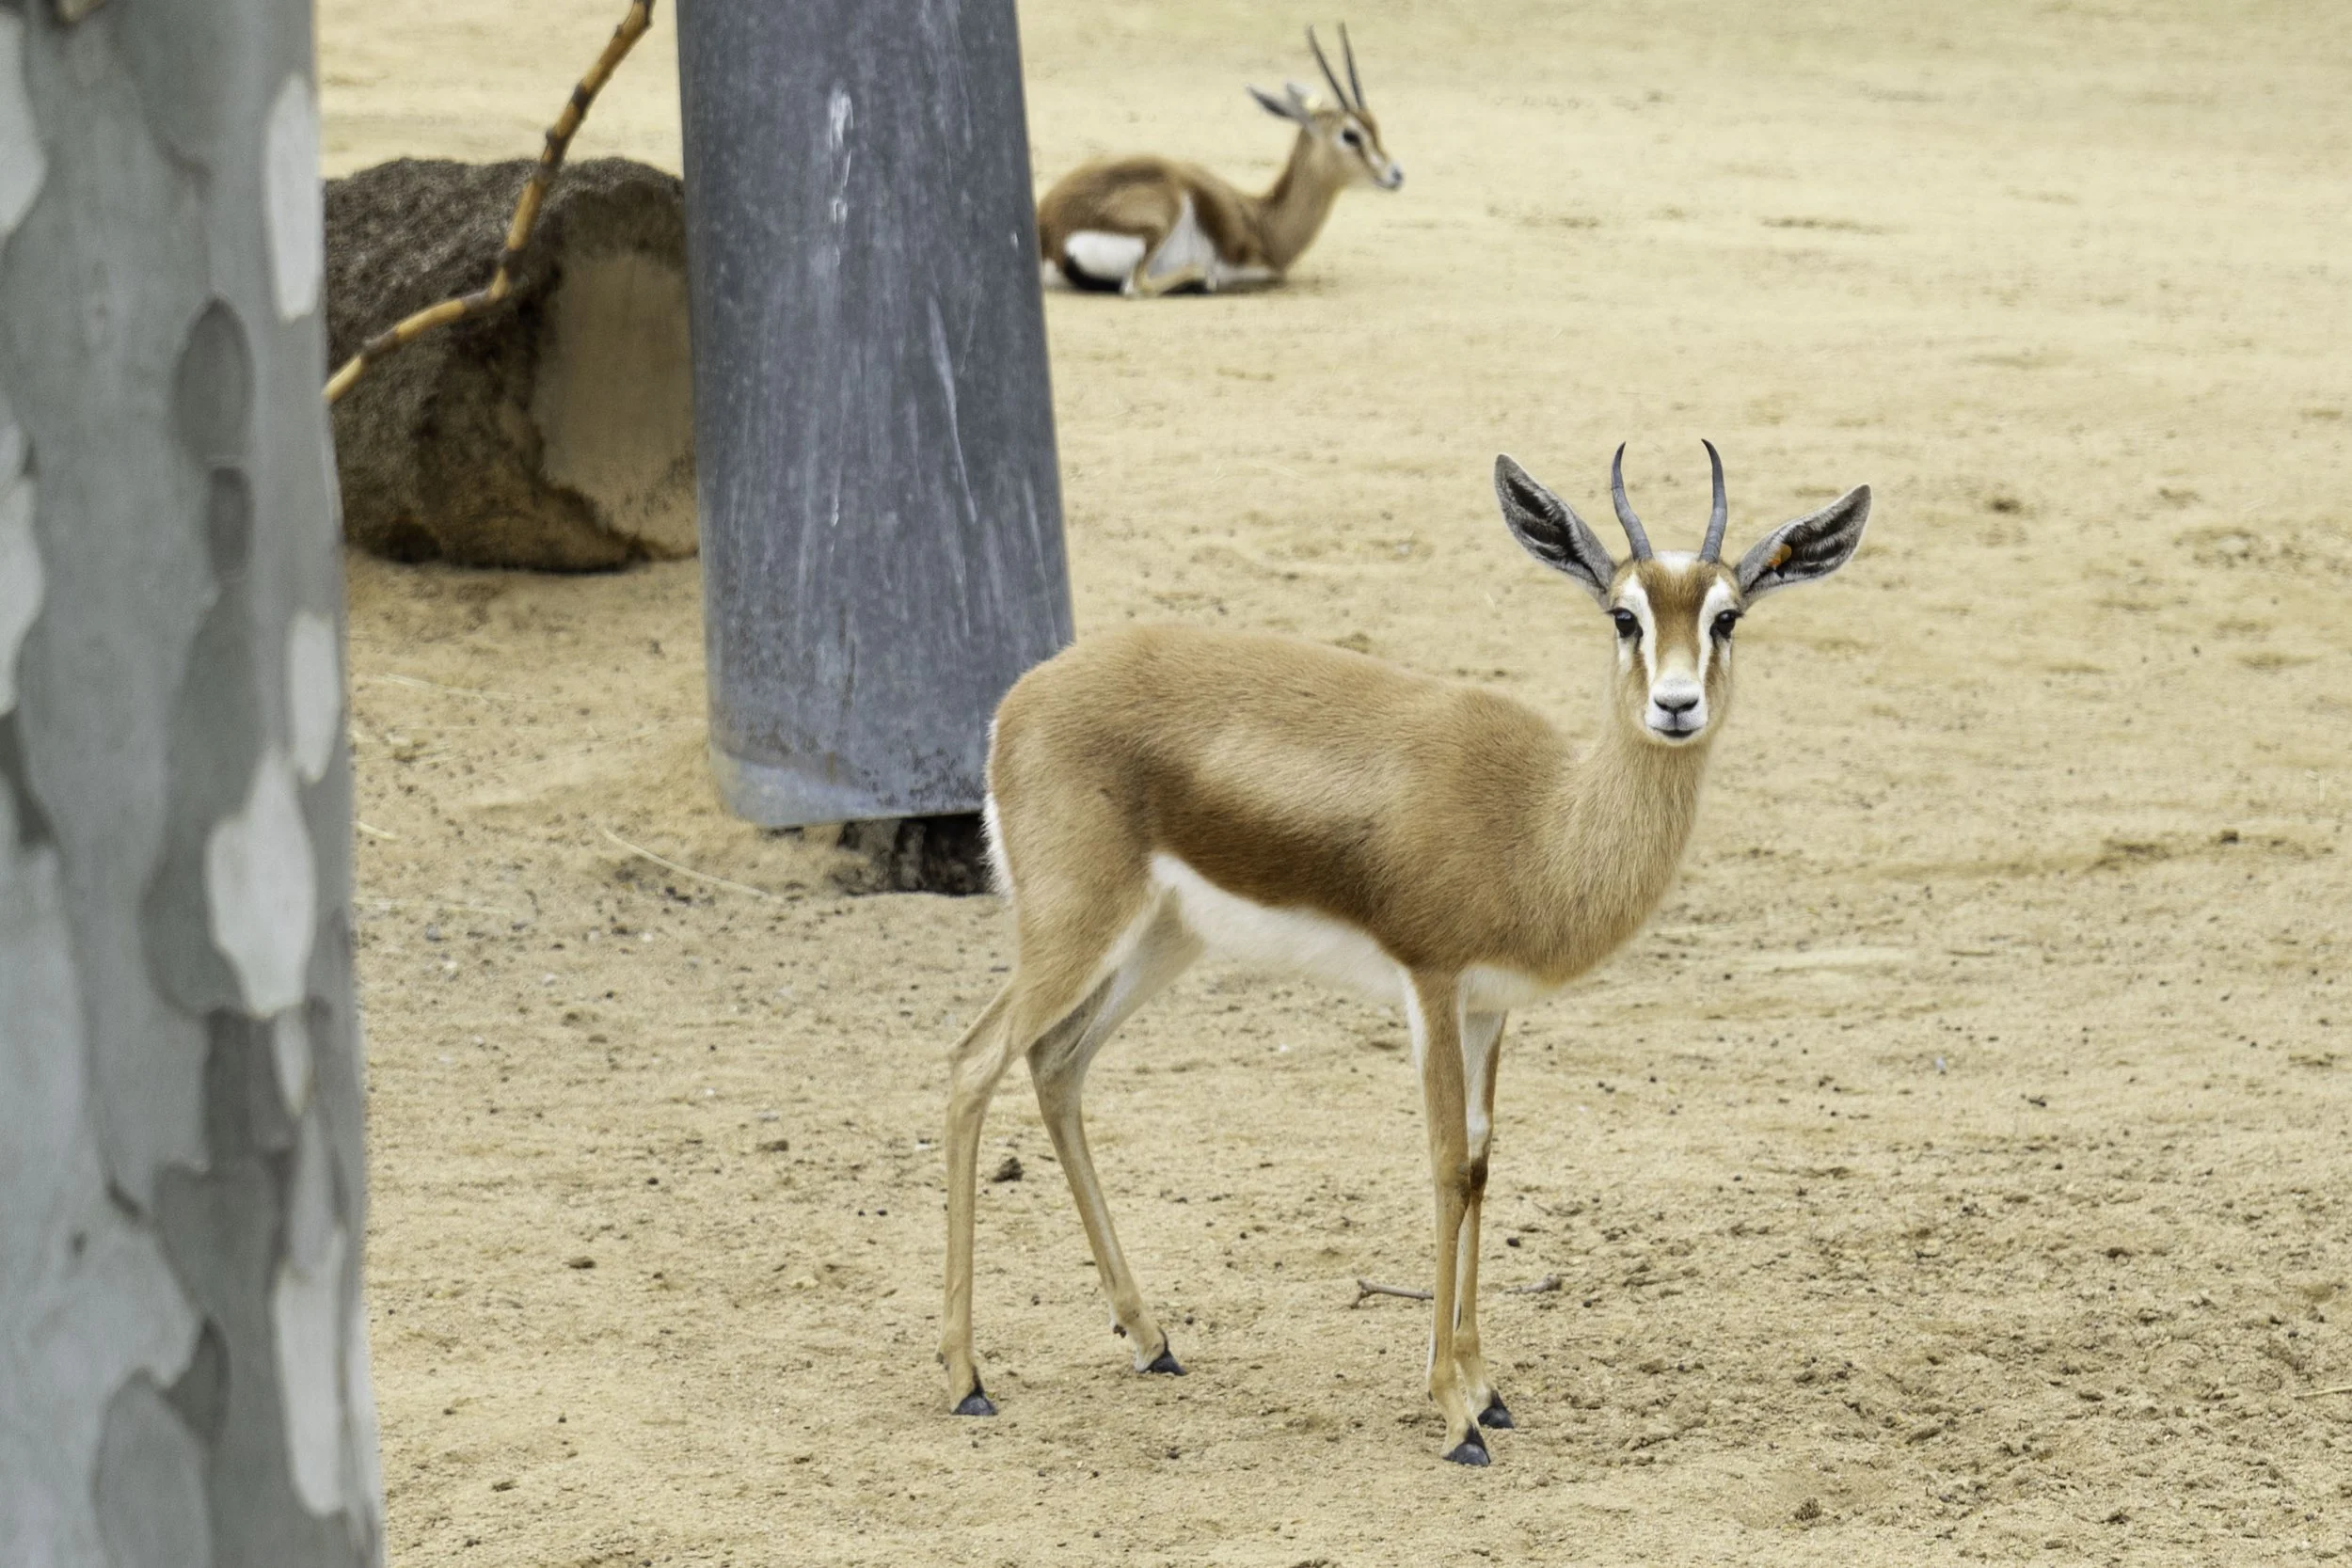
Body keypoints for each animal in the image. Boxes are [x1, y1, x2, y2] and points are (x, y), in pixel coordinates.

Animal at [939, 444, 1872, 1464]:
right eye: (1623, 614)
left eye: (1726, 616)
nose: (1676, 705)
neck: (1538, 823)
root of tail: (1019, 701)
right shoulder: (1429, 984)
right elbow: (1441, 1162)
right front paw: (1454, 1414)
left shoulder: (1488, 1007)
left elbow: (1482, 1164)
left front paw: (1486, 1388)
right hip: (1075, 929)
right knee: (973, 1061)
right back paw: (966, 1378)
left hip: (1156, 942)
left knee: (1056, 1065)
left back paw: (1151, 1340)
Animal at [1036, 26, 1402, 298]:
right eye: (1350, 135)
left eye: (1374, 125)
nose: (1396, 174)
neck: (1263, 221)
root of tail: (1050, 228)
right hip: (1162, 216)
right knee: (1136, 286)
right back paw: (1200, 280)